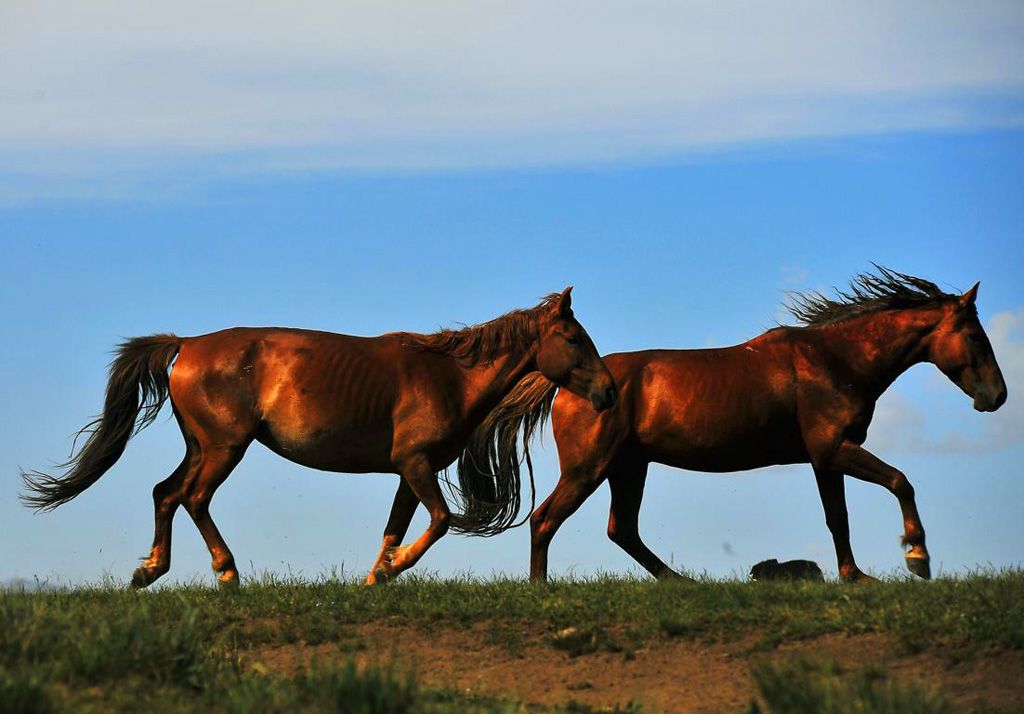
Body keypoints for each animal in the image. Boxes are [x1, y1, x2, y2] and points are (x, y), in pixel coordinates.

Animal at [24, 286, 614, 585]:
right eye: (573, 338)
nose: (608, 391)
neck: (447, 375)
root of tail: (186, 344)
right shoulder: (417, 464)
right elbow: (441, 521)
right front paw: (395, 568)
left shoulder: (407, 472)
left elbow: (396, 527)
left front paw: (378, 576)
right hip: (223, 448)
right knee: (192, 498)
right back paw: (226, 573)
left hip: (201, 446)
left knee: (166, 493)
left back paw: (149, 571)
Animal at [464, 266, 1007, 577]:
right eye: (975, 335)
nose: (998, 397)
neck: (834, 360)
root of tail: (570, 388)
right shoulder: (834, 449)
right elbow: (900, 481)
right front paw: (918, 558)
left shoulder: (824, 458)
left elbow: (838, 519)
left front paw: (855, 577)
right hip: (588, 468)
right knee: (545, 520)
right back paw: (542, 589)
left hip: (628, 467)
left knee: (623, 530)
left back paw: (681, 583)